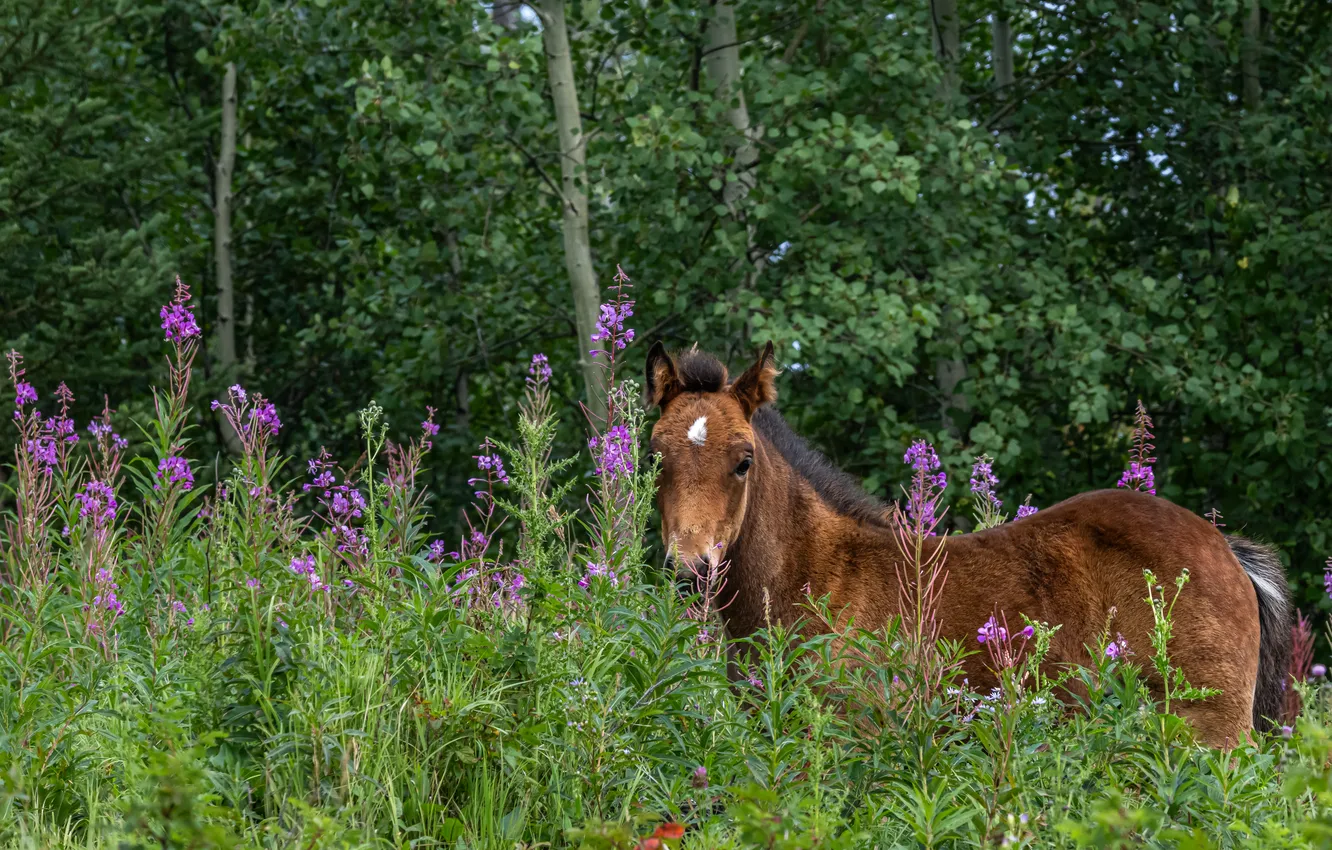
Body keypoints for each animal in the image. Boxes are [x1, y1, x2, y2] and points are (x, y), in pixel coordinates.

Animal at [644, 341, 1292, 748]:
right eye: (655, 457)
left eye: (743, 461)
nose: (691, 569)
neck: (820, 576)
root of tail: (1228, 554)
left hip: (1206, 734)